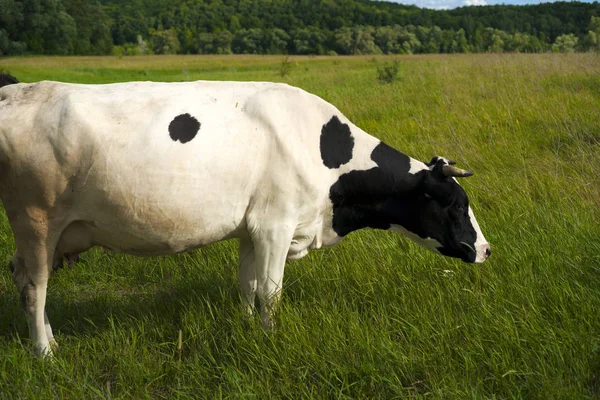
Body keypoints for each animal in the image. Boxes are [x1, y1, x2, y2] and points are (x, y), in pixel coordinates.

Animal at [0, 74, 488, 356]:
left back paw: (52, 341)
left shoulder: (252, 228)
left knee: (27, 281)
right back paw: (45, 352)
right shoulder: (276, 225)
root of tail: (16, 89)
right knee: (34, 288)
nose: (484, 249)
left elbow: (247, 286)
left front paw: (250, 328)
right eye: (455, 203)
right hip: (36, 221)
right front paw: (271, 338)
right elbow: (270, 291)